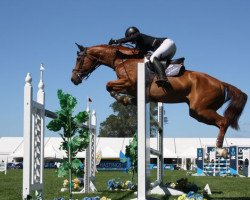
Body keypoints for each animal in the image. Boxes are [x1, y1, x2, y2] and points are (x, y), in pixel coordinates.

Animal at [71, 43, 247, 156]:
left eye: (79, 59)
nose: (73, 79)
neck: (122, 59)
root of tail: (221, 83)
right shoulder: (131, 87)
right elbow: (113, 88)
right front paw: (129, 100)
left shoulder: (128, 82)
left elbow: (108, 86)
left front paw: (122, 99)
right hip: (198, 112)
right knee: (221, 122)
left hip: (200, 109)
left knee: (223, 122)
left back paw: (220, 149)